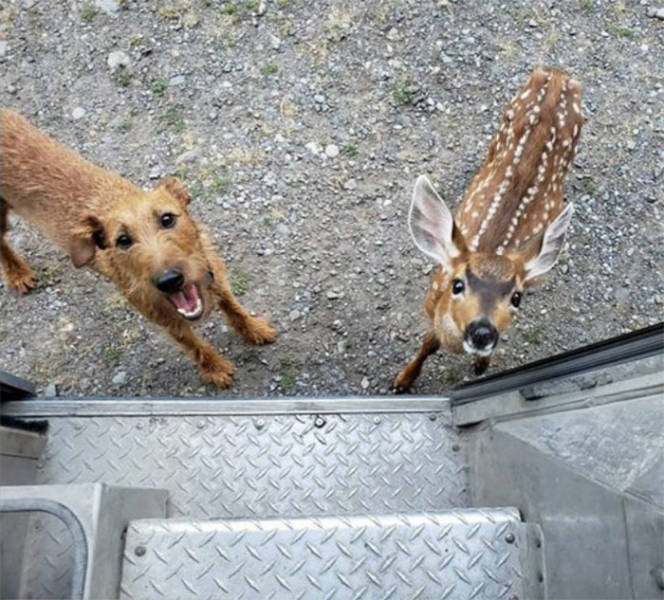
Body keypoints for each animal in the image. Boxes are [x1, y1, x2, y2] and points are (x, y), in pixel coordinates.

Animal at [0, 109, 274, 390]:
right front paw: (215, 368)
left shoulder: (214, 274)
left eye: (167, 218)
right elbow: (193, 344)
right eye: (123, 240)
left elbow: (233, 306)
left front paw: (255, 329)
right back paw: (18, 273)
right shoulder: (161, 316)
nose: (169, 280)